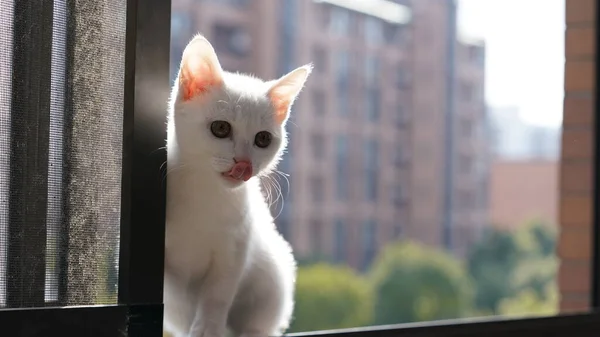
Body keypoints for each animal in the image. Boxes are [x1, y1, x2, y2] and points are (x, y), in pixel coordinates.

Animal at [165, 34, 314, 337]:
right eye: (220, 128)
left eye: (263, 139)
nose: (243, 163)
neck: (206, 191)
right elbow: (177, 290)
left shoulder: (235, 248)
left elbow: (217, 294)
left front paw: (207, 328)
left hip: (273, 277)